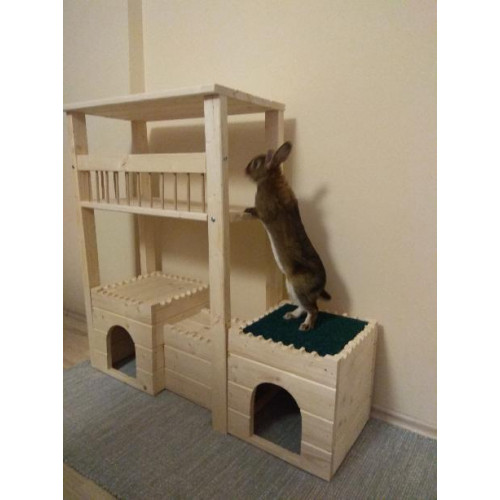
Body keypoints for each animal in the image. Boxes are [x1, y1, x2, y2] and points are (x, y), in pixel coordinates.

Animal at [244, 141, 331, 331]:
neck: (269, 177)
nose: (244, 170)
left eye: (255, 163)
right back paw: (290, 315)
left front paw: (248, 210)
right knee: (303, 307)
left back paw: (306, 326)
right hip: (291, 287)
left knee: (313, 309)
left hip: (299, 286)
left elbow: (259, 213)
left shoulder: (264, 210)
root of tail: (320, 287)